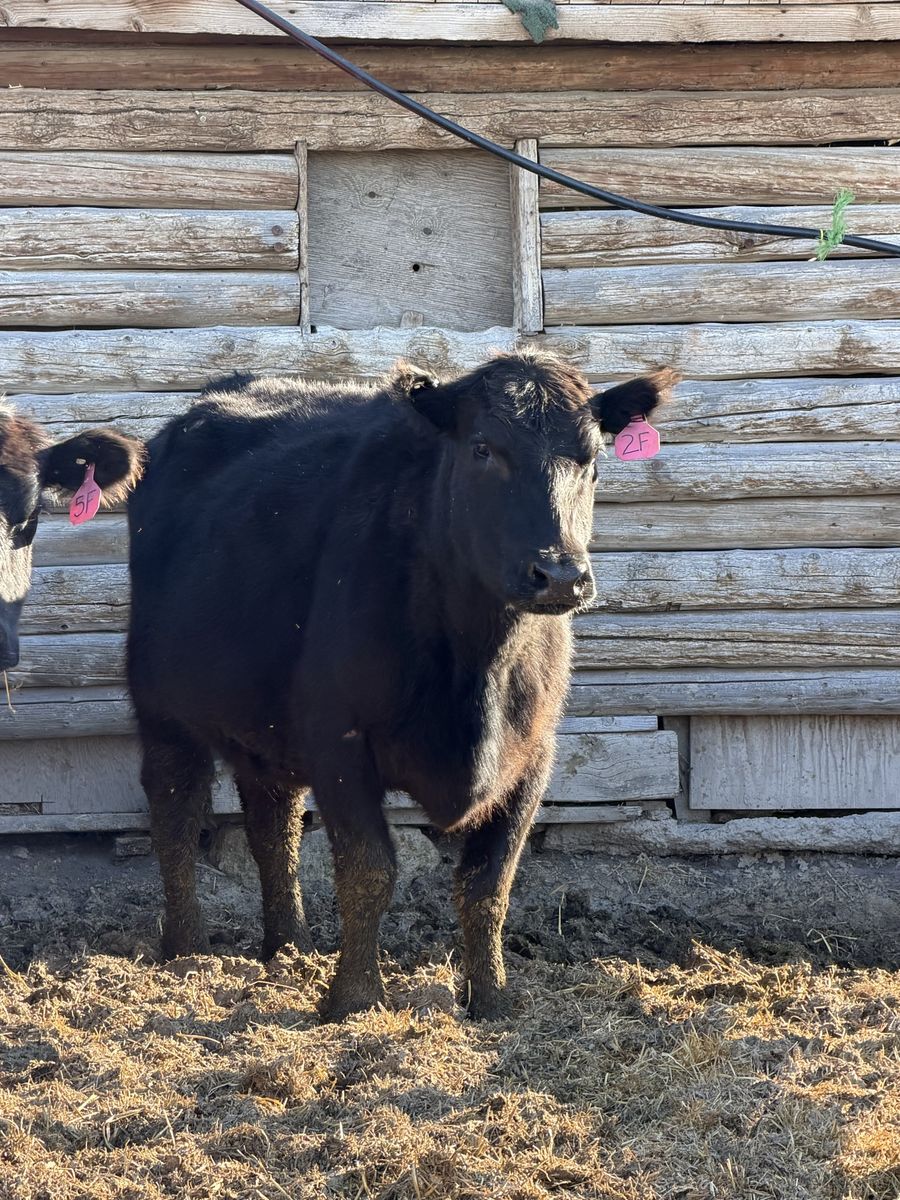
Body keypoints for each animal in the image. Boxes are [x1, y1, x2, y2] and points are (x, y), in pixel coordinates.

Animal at [126, 350, 674, 1021]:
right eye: (482, 448)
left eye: (591, 456)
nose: (560, 575)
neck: (478, 666)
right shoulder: (338, 741)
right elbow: (369, 871)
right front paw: (355, 998)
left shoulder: (534, 755)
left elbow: (488, 883)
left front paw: (492, 998)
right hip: (162, 710)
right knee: (175, 813)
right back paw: (186, 952)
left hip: (265, 727)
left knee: (272, 826)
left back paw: (289, 948)